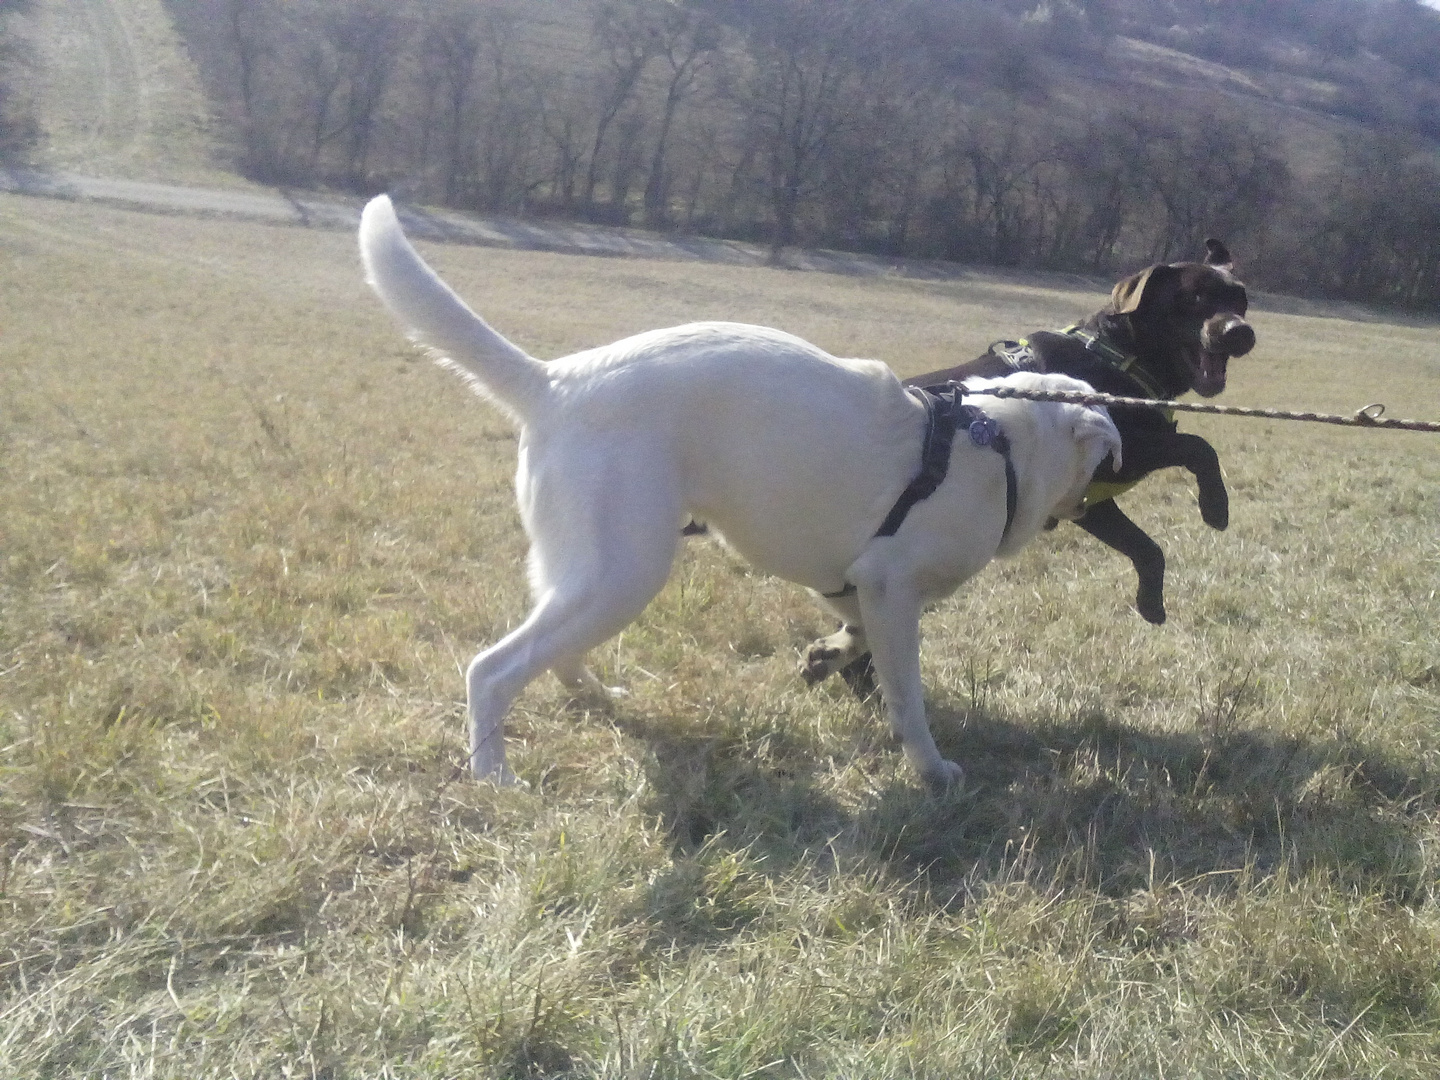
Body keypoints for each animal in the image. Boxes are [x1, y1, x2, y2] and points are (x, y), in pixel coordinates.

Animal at [354, 194, 1117, 789]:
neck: (997, 444)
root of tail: (554, 382)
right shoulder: (892, 586)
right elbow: (907, 697)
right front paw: (931, 771)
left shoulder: (857, 586)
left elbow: (852, 638)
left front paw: (827, 658)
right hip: (624, 571)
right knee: (493, 670)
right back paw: (495, 777)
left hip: (590, 575)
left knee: (554, 652)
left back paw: (596, 697)